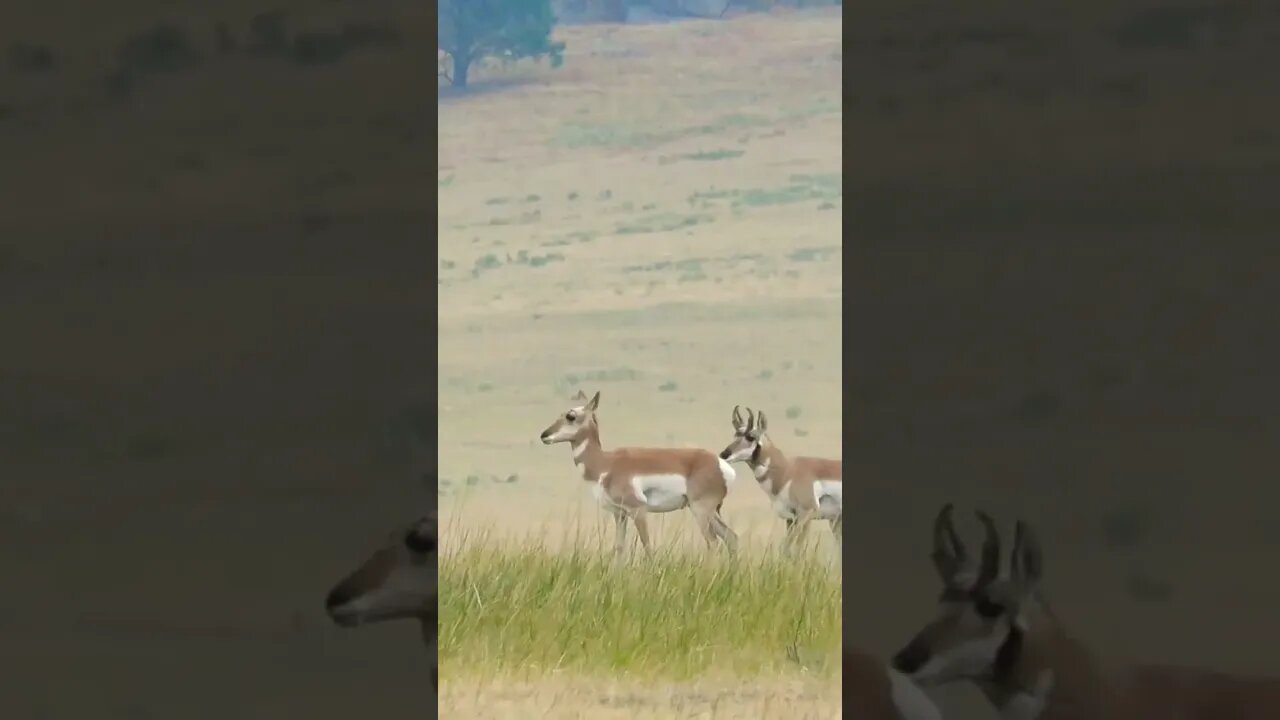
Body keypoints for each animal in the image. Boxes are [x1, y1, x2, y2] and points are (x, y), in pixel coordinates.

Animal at [540, 389, 742, 558]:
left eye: (571, 416)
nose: (544, 435)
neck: (606, 463)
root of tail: (720, 463)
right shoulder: (619, 514)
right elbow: (619, 548)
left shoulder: (638, 510)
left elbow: (647, 546)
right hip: (707, 511)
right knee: (731, 538)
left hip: (701, 511)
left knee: (713, 543)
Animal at [721, 404, 839, 548]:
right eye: (735, 435)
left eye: (750, 437)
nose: (723, 454)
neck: (787, 471)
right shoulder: (790, 519)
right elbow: (786, 548)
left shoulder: (805, 514)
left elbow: (797, 547)